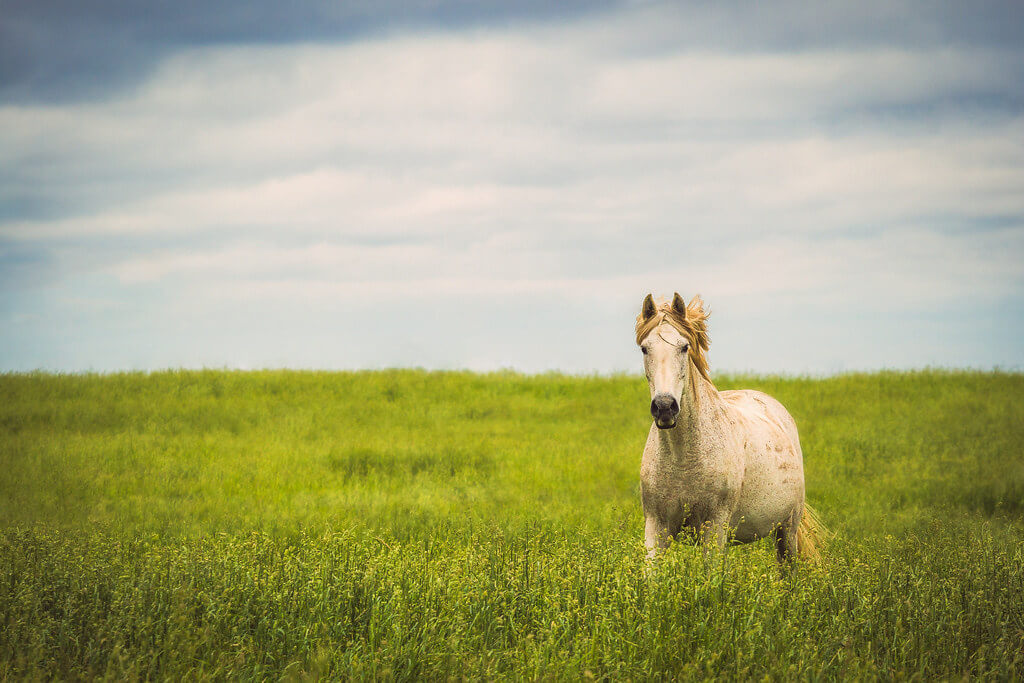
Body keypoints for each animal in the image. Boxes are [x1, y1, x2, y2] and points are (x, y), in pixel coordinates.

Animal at [634, 290, 827, 565]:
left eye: (684, 347)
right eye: (644, 348)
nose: (664, 407)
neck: (683, 458)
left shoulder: (714, 526)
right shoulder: (656, 525)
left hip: (787, 531)